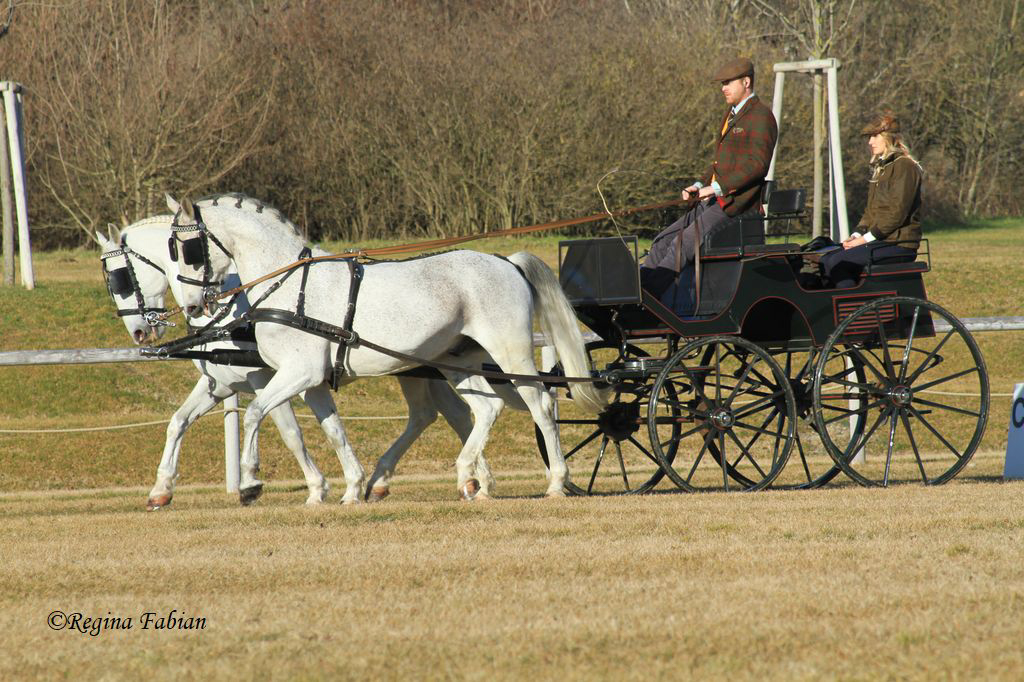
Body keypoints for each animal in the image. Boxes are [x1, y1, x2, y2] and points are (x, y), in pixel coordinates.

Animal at [165, 191, 606, 499]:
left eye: (185, 248)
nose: (193, 305)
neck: (290, 287)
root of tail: (507, 261)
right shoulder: (312, 381)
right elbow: (332, 430)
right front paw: (347, 490)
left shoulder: (298, 373)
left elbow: (256, 413)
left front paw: (251, 481)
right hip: (458, 360)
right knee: (485, 408)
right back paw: (468, 478)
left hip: (510, 352)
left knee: (541, 404)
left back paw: (556, 482)